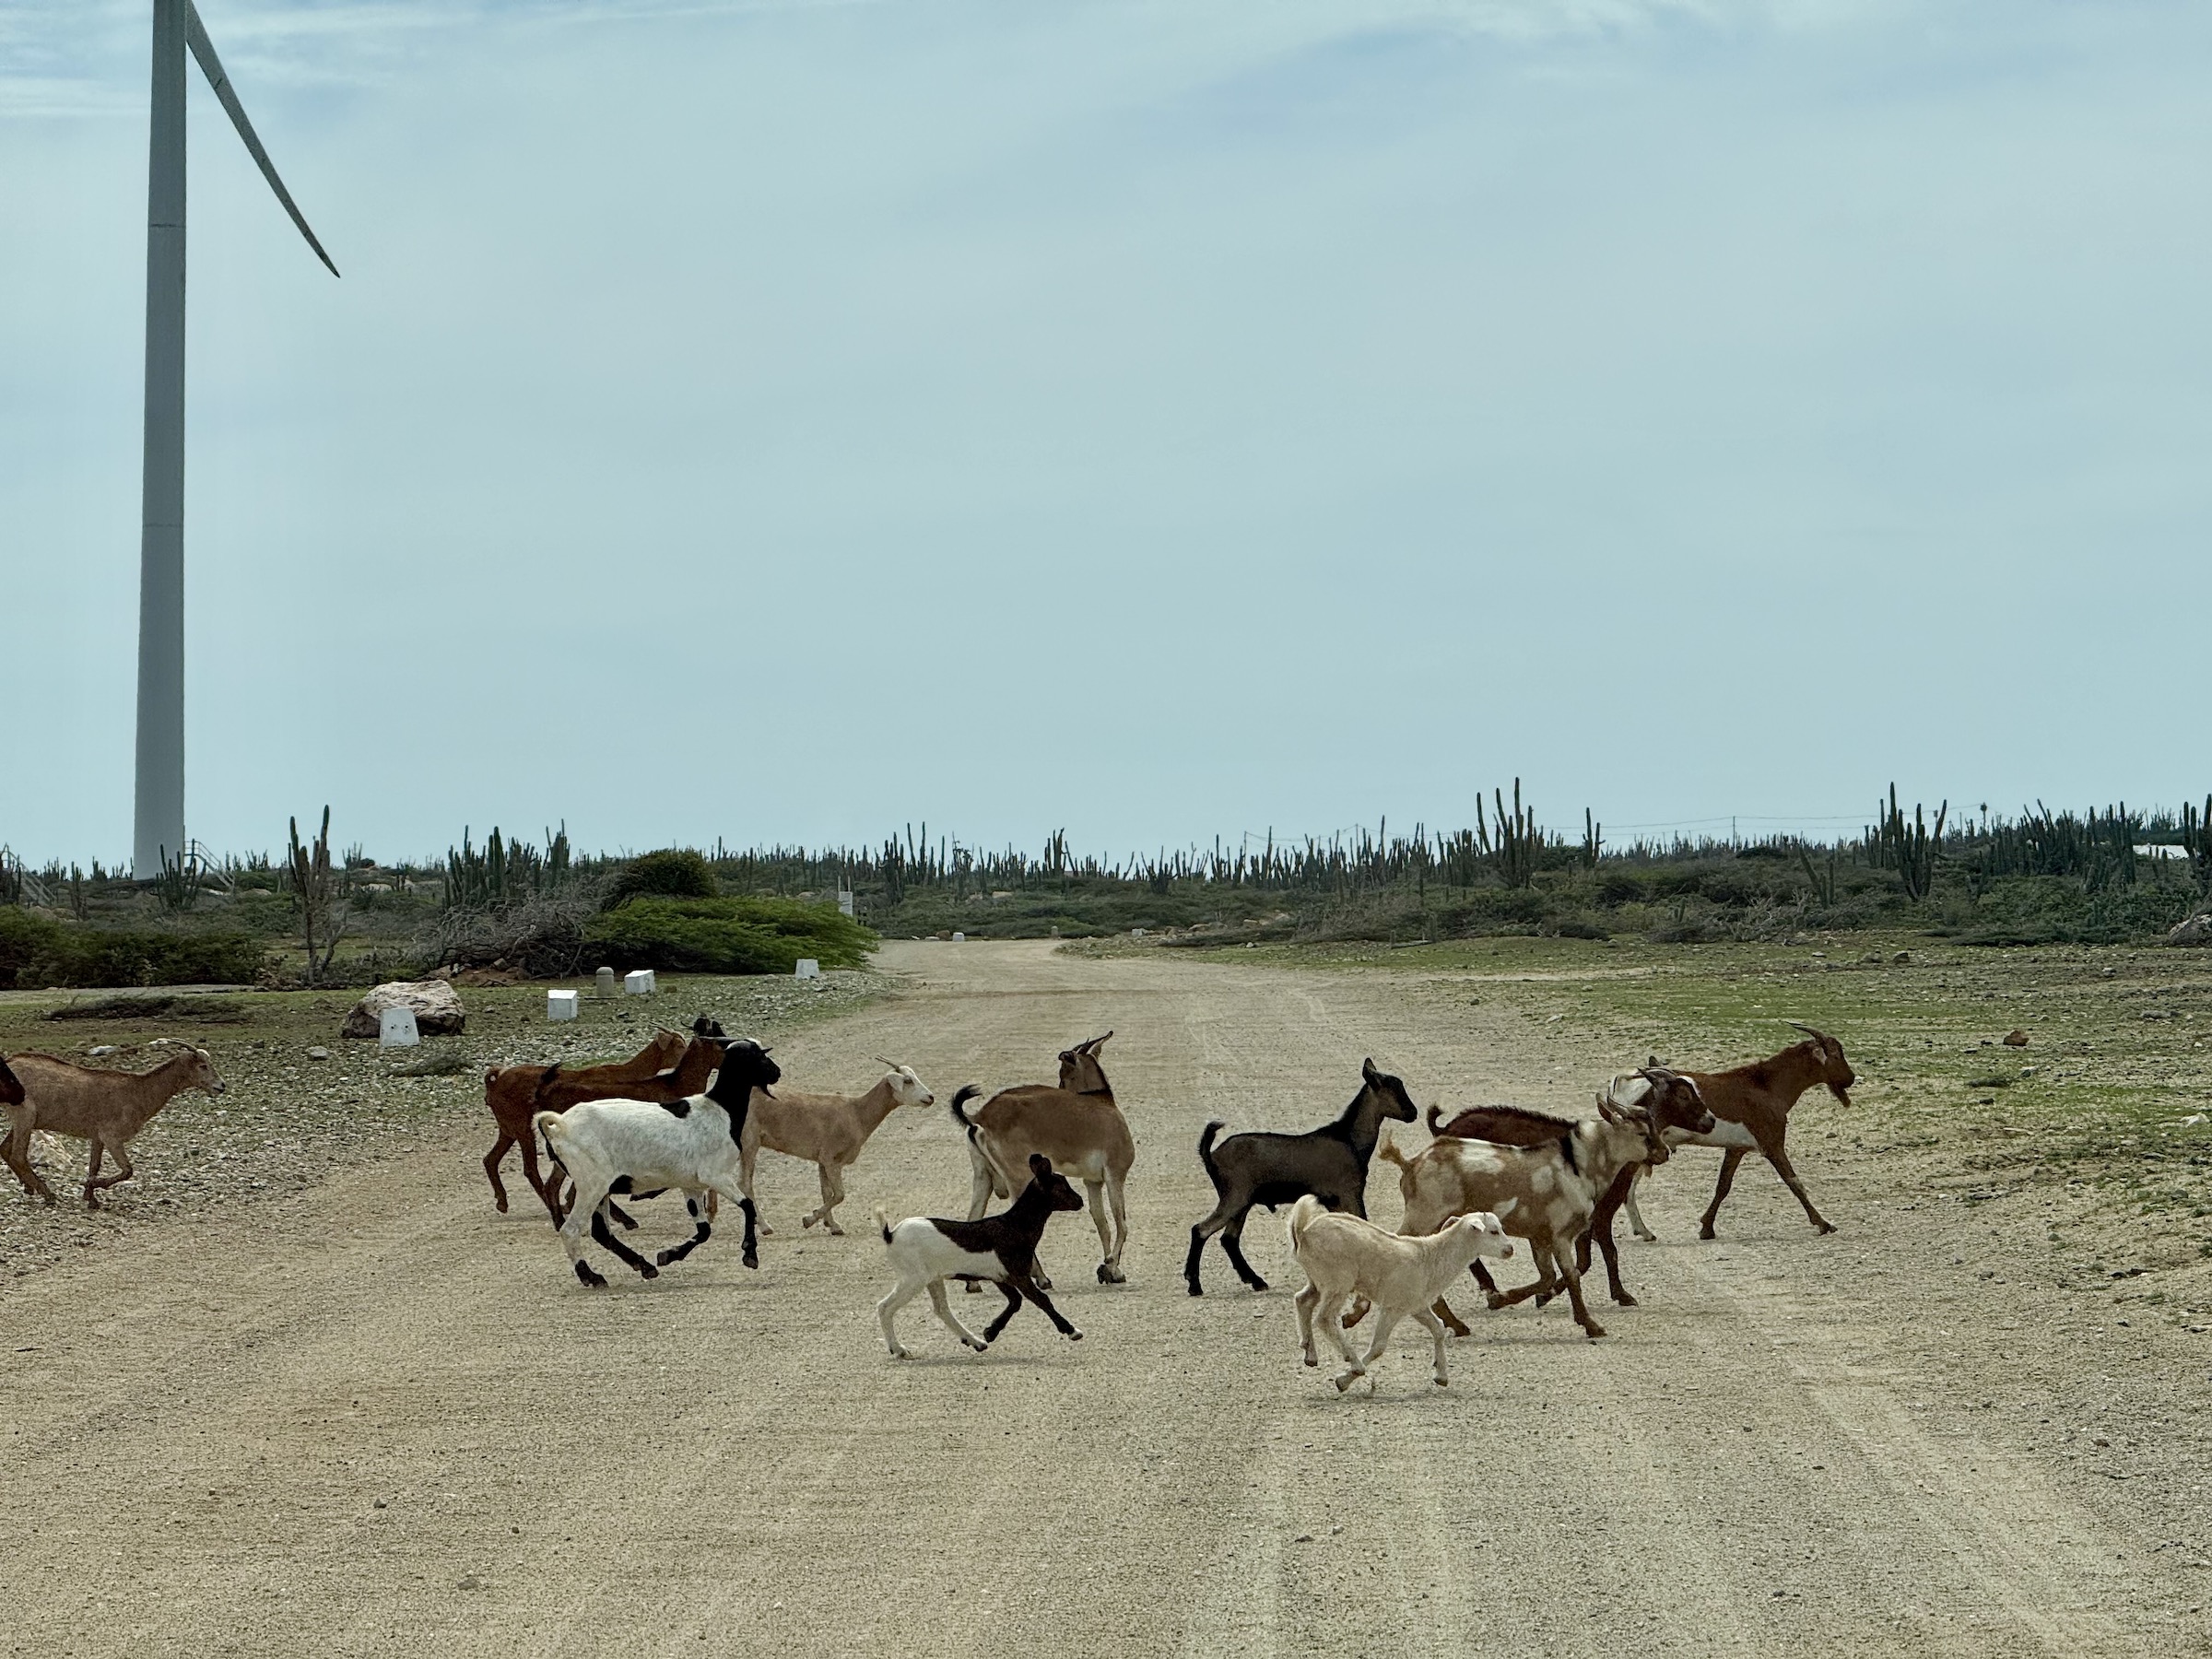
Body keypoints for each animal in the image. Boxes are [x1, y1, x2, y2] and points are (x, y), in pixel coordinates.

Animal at [2, 1040, 222, 1212]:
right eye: (202, 1066)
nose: (221, 1086)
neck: (138, 1093)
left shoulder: (97, 1135)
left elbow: (95, 1165)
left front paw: (91, 1198)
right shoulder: (112, 1136)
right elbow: (128, 1170)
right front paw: (92, 1185)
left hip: (24, 1118)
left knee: (5, 1150)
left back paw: (30, 1188)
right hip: (25, 1114)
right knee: (18, 1154)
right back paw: (47, 1194)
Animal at [734, 1065, 924, 1239]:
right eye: (908, 1081)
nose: (929, 1098)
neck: (858, 1114)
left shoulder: (822, 1160)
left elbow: (826, 1192)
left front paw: (832, 1225)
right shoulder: (832, 1159)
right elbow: (839, 1194)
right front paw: (809, 1220)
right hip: (749, 1142)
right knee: (745, 1183)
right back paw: (764, 1226)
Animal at [947, 1040, 1132, 1283]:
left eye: (1063, 1075)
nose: (1060, 1089)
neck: (1105, 1107)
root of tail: (979, 1117)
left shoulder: (1093, 1182)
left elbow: (1102, 1224)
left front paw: (1110, 1271)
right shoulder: (1114, 1175)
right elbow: (1122, 1224)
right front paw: (1111, 1266)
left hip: (983, 1177)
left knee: (972, 1217)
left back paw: (973, 1284)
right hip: (1019, 1178)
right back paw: (1042, 1278)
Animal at [1194, 1057, 1416, 1309]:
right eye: (1392, 1088)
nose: (1413, 1113)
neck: (1348, 1139)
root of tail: (1212, 1155)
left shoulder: (1334, 1200)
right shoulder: (1349, 1192)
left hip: (1242, 1201)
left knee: (1228, 1238)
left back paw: (1256, 1281)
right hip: (1235, 1196)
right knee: (1201, 1230)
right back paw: (1195, 1285)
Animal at [1283, 1194, 1522, 1389]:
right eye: (1493, 1231)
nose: (1510, 1250)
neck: (1431, 1257)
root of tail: (1303, 1232)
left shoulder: (1417, 1306)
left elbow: (1439, 1329)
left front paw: (1441, 1376)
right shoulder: (1393, 1307)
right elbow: (1378, 1346)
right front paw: (1345, 1379)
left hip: (1318, 1280)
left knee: (1302, 1300)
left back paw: (1310, 1353)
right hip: (1337, 1282)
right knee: (1324, 1319)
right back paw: (1353, 1362)